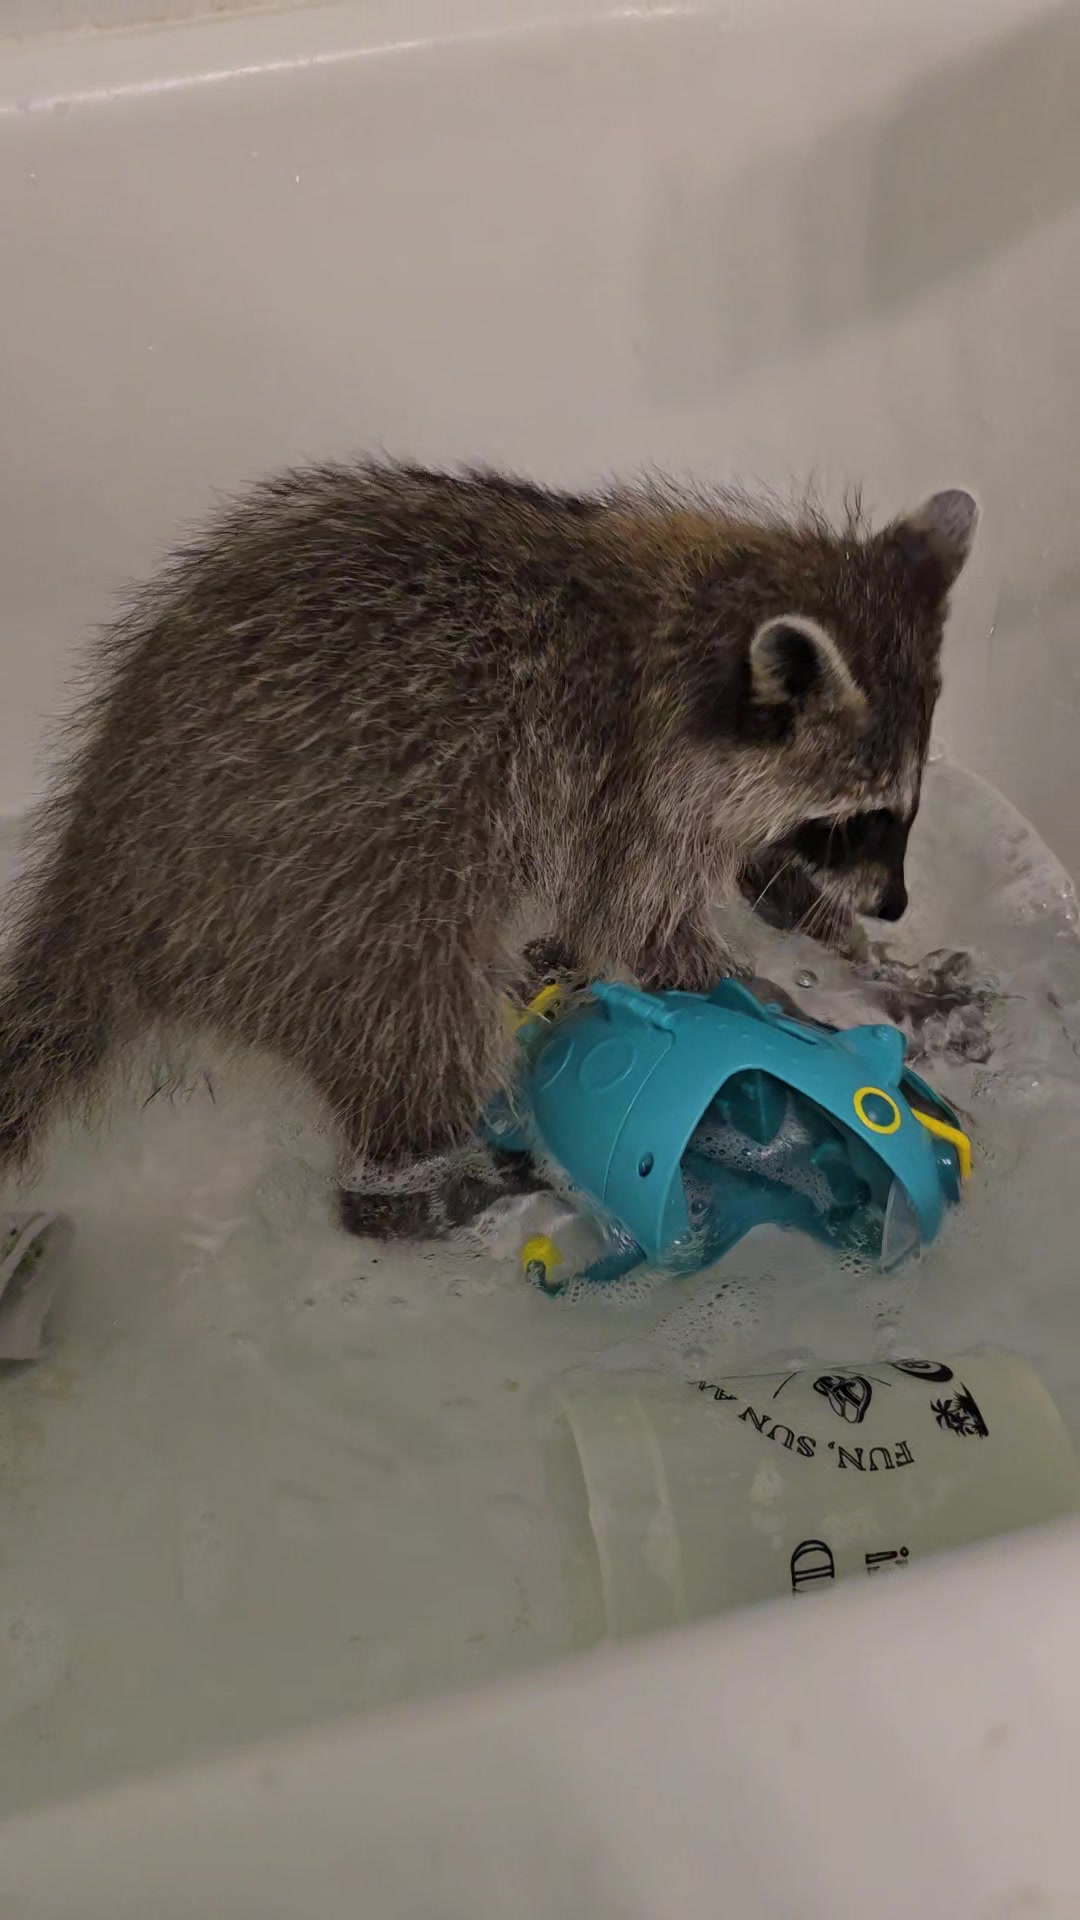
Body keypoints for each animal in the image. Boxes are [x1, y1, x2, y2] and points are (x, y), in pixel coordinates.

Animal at [0, 463, 976, 1237]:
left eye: (900, 812)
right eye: (860, 819)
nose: (894, 903)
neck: (694, 614)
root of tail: (99, 884)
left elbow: (755, 869)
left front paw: (870, 962)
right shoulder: (626, 788)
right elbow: (650, 935)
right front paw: (798, 1019)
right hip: (322, 889)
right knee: (424, 1012)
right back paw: (418, 1185)